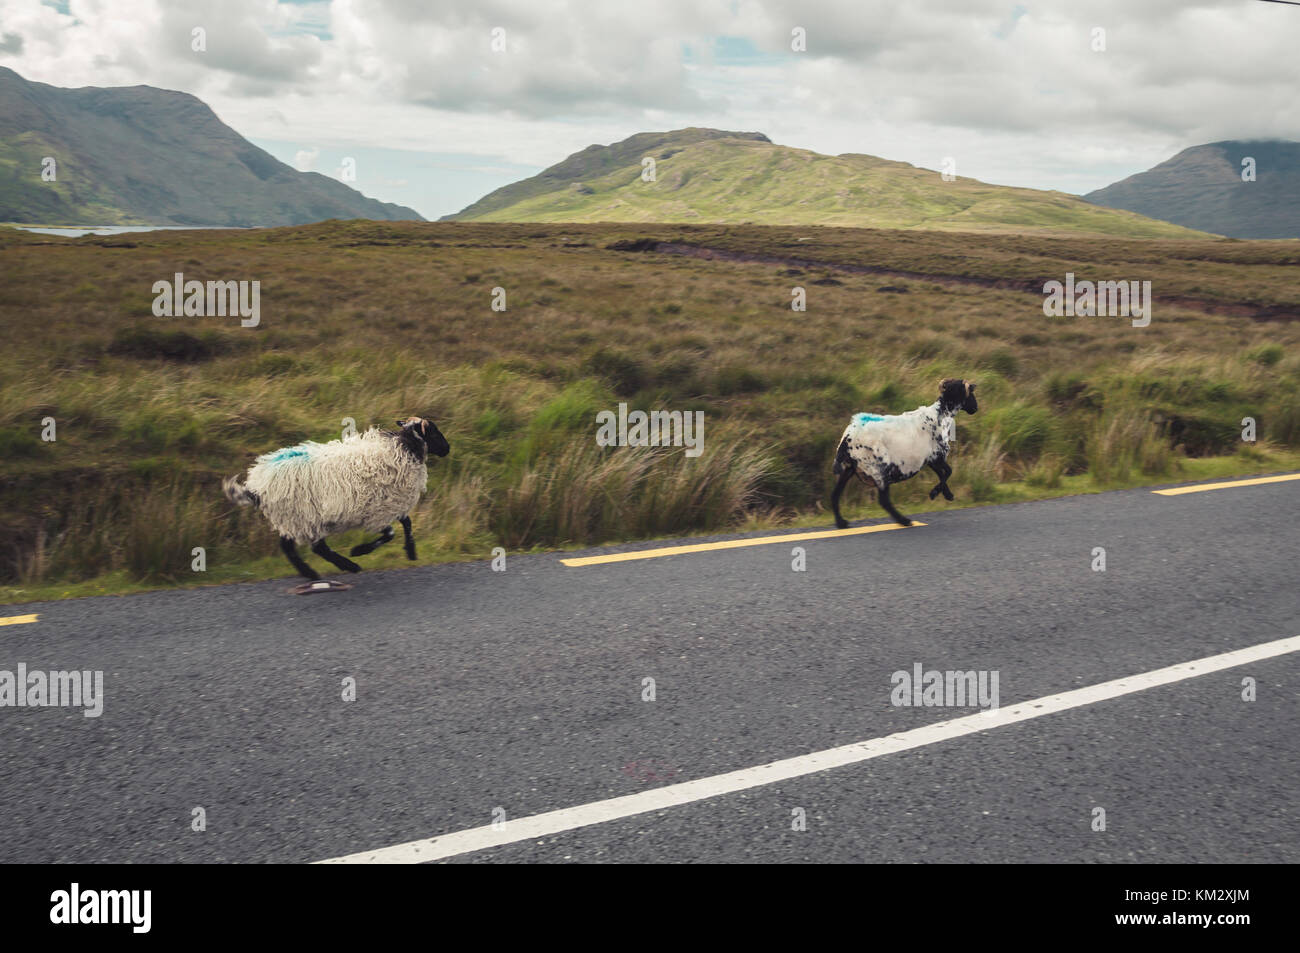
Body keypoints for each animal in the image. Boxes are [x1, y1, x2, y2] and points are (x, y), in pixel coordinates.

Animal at [220, 416, 449, 579]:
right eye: (433, 431)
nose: (447, 449)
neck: (403, 449)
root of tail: (257, 487)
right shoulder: (378, 510)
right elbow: (391, 533)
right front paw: (360, 550)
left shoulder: (388, 504)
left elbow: (407, 524)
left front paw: (411, 551)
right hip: (302, 516)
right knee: (312, 547)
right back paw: (341, 567)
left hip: (293, 518)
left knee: (297, 547)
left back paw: (316, 572)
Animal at [832, 377, 977, 527]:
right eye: (970, 392)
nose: (975, 408)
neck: (940, 415)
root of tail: (847, 438)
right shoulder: (937, 456)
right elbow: (948, 472)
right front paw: (934, 493)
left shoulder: (931, 459)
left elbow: (942, 474)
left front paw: (948, 495)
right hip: (879, 468)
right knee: (883, 500)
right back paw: (904, 521)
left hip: (849, 469)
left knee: (835, 495)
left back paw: (841, 522)